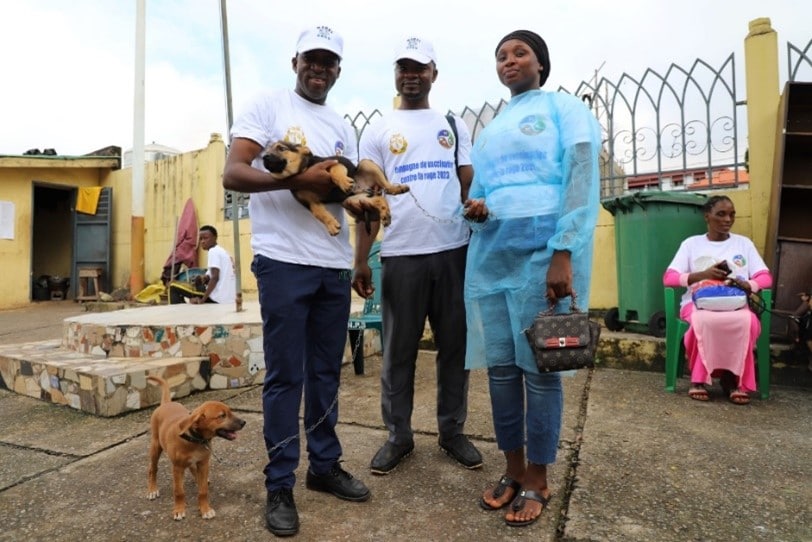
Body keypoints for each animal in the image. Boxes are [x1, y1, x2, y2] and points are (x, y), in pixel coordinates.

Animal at [147, 378, 246, 524]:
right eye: (222, 416)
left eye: (230, 411)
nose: (244, 422)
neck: (195, 440)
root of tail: (166, 403)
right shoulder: (177, 468)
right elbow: (179, 492)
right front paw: (179, 510)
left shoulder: (204, 463)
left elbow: (203, 491)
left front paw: (205, 510)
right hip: (155, 446)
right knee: (152, 469)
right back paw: (152, 490)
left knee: (191, 467)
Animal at [264, 140, 410, 236]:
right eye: (267, 151)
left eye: (281, 148)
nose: (264, 157)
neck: (302, 172)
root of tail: (363, 188)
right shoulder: (310, 202)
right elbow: (319, 213)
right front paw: (331, 224)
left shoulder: (334, 164)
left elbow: (335, 172)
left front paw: (344, 182)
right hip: (356, 199)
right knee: (380, 199)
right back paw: (385, 213)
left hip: (366, 164)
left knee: (386, 187)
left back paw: (397, 189)